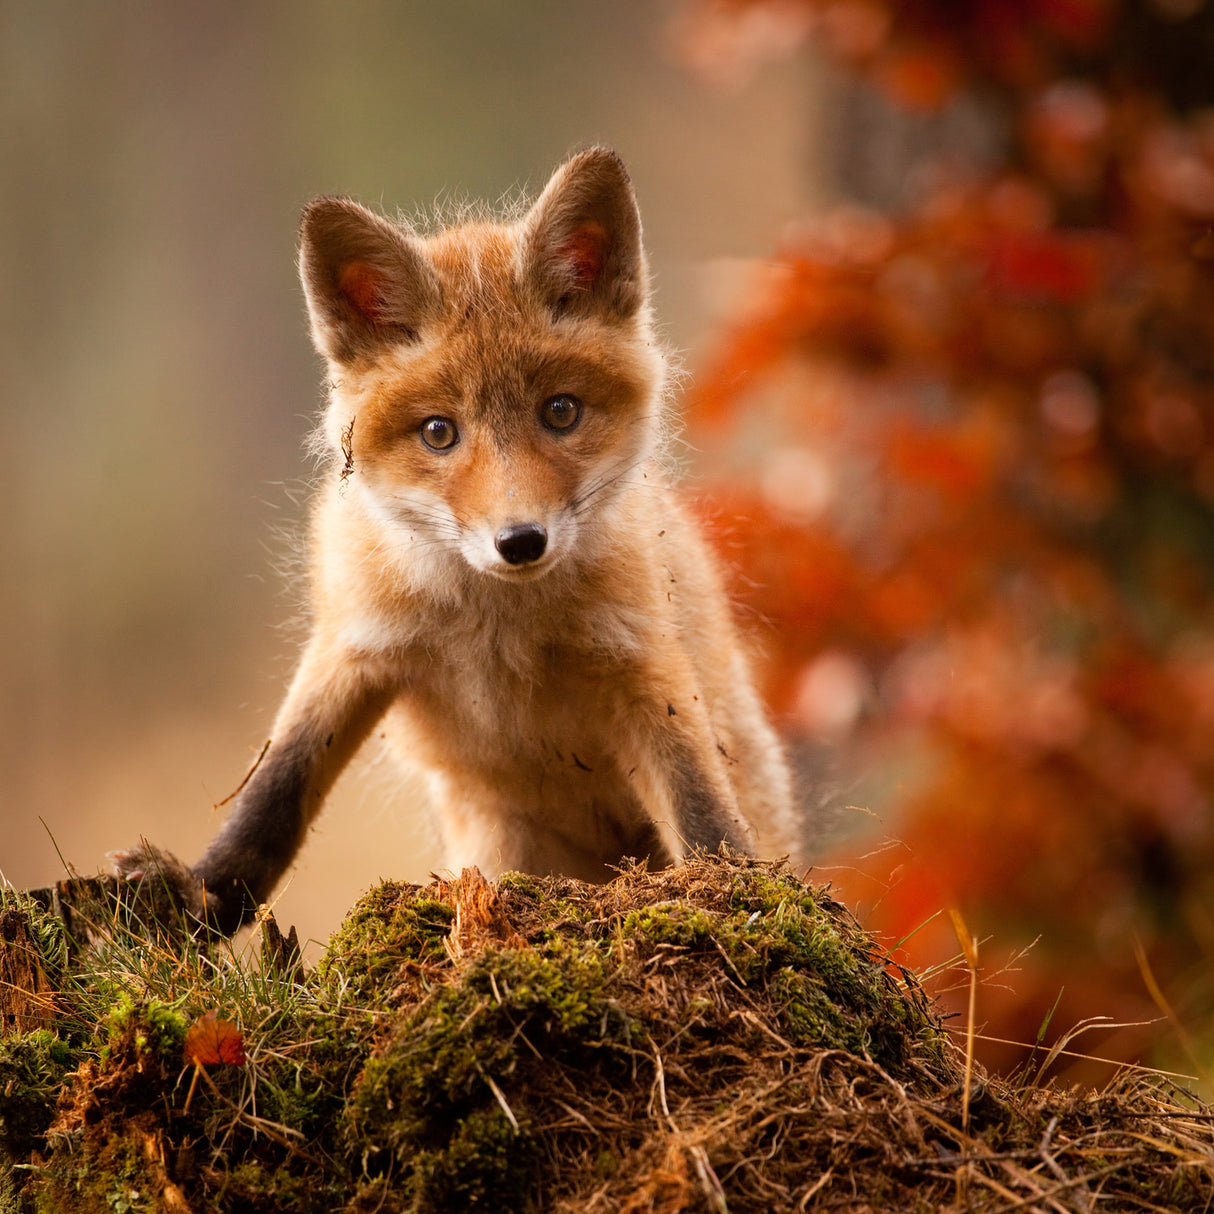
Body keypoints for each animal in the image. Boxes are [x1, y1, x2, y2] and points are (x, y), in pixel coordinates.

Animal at [114, 147, 802, 935]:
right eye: (439, 432)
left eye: (560, 412)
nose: (521, 541)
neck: (493, 628)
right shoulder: (354, 647)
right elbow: (274, 793)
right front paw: (201, 900)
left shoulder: (641, 660)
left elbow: (701, 809)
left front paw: (740, 899)